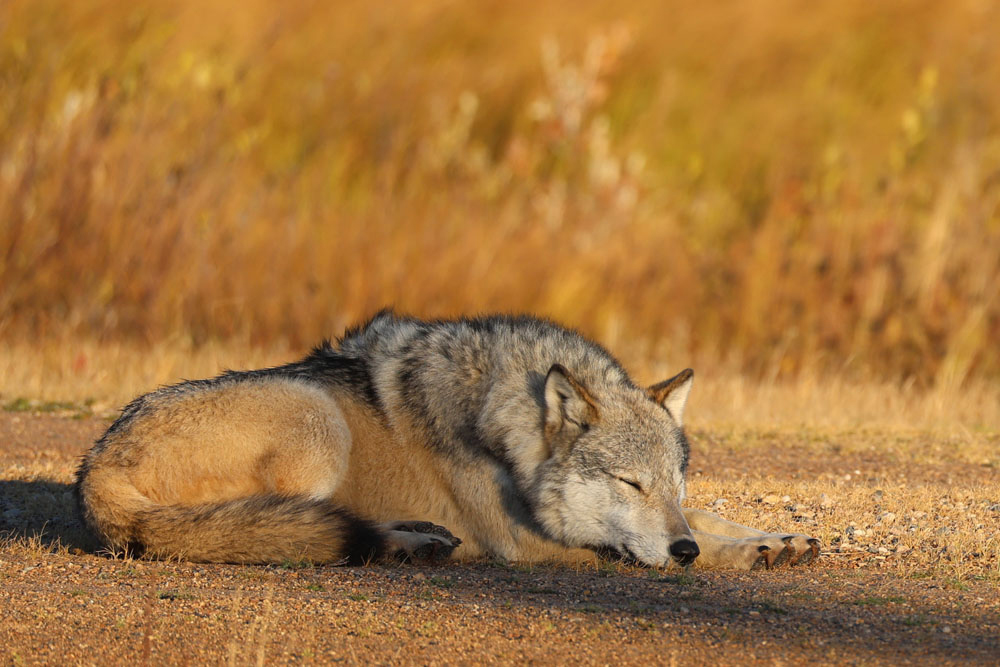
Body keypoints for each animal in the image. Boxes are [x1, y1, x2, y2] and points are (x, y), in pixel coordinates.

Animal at [76, 312, 820, 568]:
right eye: (628, 483)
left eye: (672, 486)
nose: (681, 546)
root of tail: (93, 469)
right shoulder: (523, 542)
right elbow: (664, 551)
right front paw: (737, 556)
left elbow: (720, 518)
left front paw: (779, 537)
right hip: (318, 419)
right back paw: (408, 543)